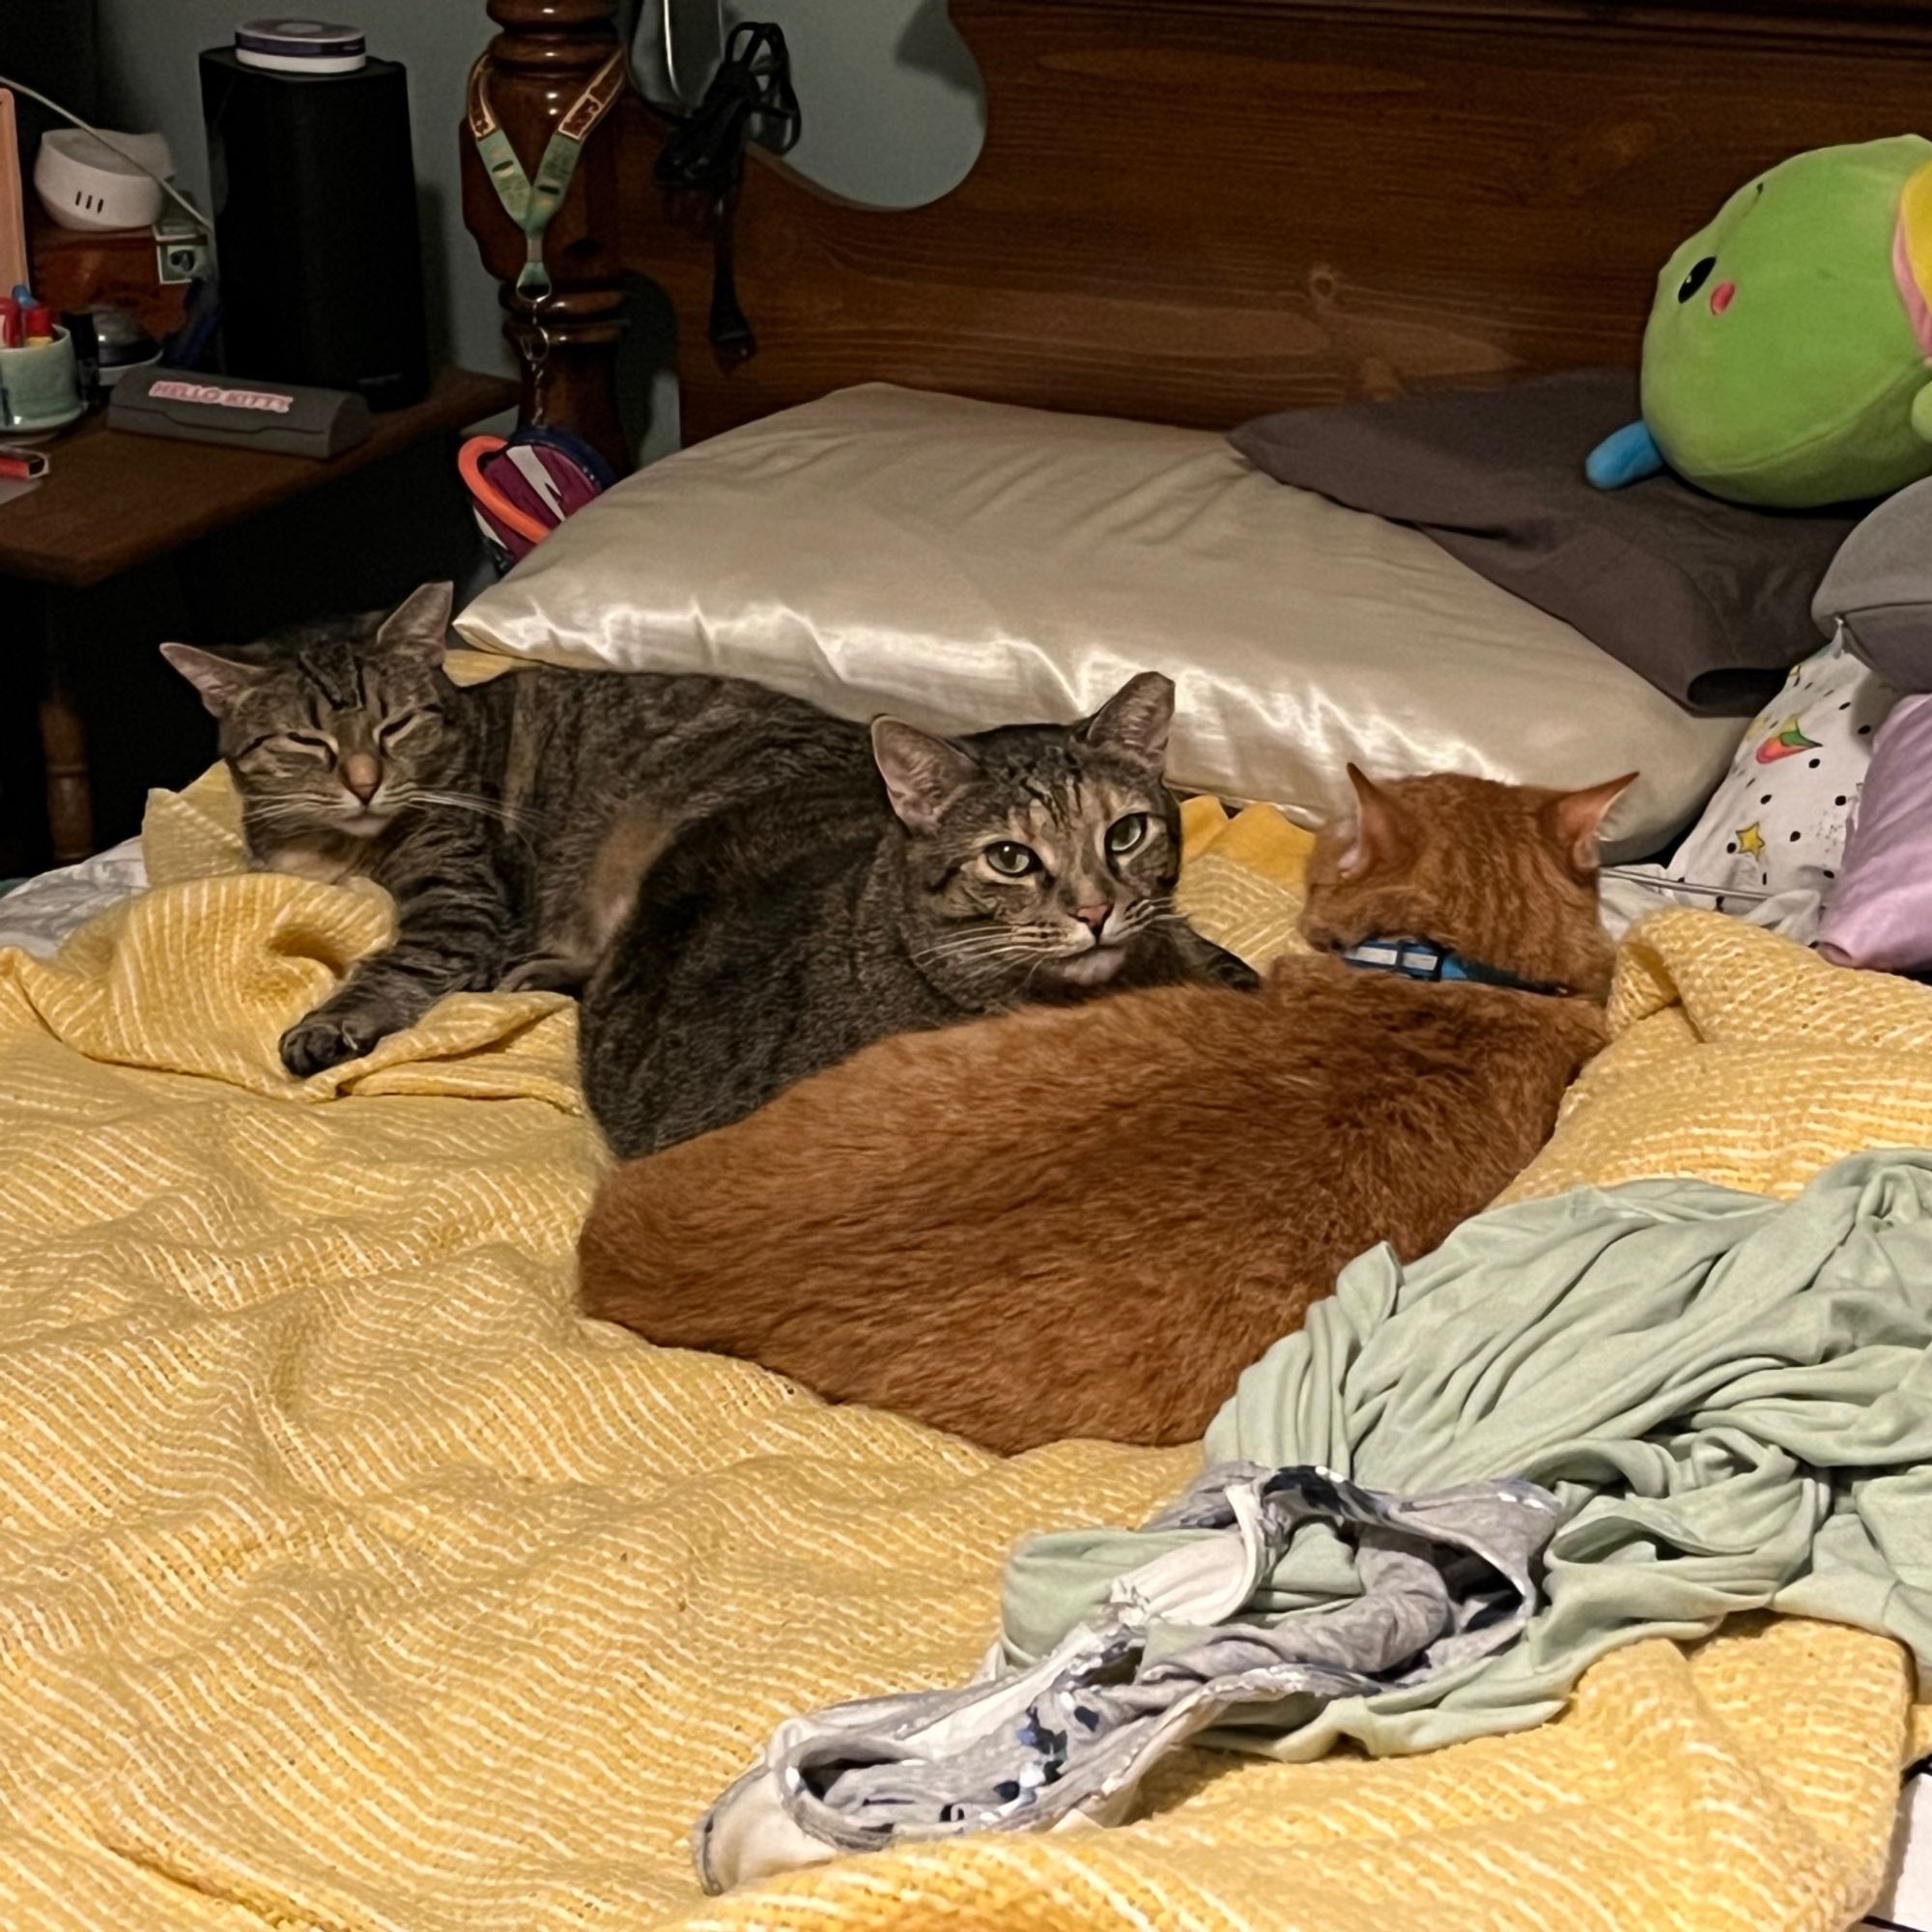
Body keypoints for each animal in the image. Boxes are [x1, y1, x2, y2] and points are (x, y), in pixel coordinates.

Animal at [158, 580, 1229, 1136]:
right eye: (306, 743)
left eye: (396, 724)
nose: (365, 779)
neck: (344, 841)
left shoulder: (458, 901)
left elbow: (394, 962)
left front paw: (332, 1021)